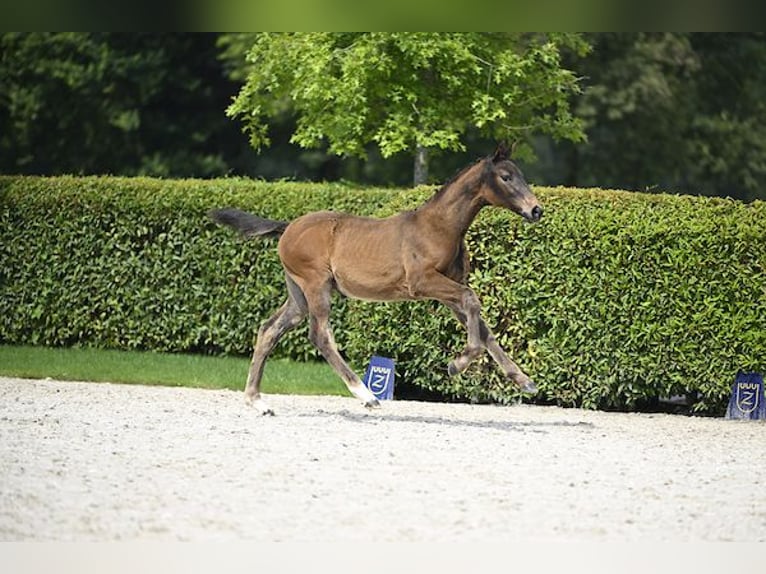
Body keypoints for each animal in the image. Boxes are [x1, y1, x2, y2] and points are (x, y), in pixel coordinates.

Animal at [210, 142, 544, 416]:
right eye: (506, 177)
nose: (536, 210)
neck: (438, 227)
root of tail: (288, 226)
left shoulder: (448, 291)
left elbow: (484, 328)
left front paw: (524, 380)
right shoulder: (422, 283)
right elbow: (472, 301)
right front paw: (456, 364)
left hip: (298, 295)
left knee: (269, 330)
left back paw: (257, 401)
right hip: (316, 286)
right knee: (320, 335)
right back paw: (366, 395)